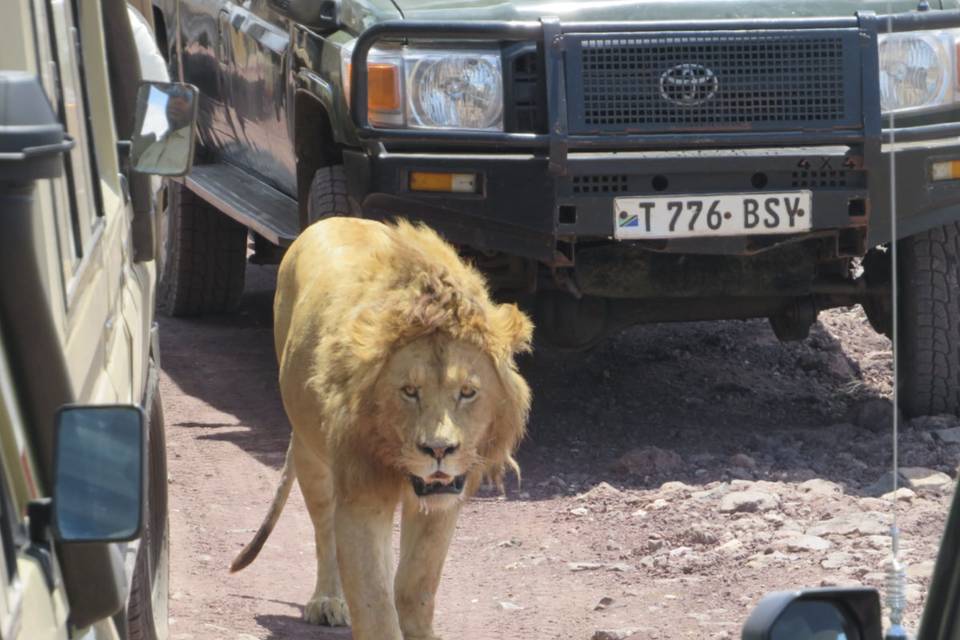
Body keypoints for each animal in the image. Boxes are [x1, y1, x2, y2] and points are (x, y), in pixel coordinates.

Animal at [229, 217, 533, 640]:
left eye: (468, 392)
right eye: (409, 391)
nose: (439, 450)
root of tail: (330, 219)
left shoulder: (441, 505)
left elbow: (416, 587)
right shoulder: (361, 493)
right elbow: (373, 601)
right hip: (309, 449)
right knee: (324, 530)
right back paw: (327, 601)